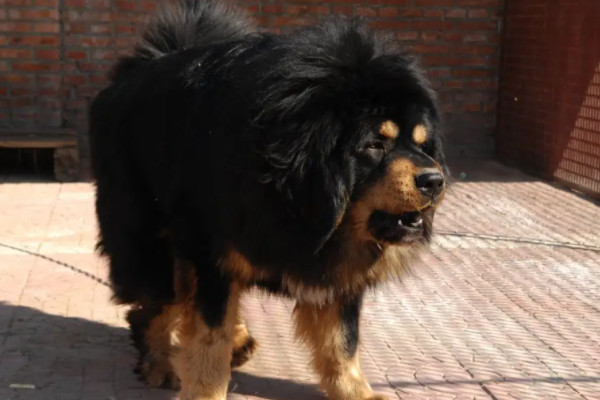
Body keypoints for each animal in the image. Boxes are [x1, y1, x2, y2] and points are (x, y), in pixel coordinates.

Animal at [89, 1, 447, 399]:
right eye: (374, 144)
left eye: (422, 145)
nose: (434, 180)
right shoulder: (212, 254)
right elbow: (210, 334)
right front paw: (206, 389)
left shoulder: (338, 269)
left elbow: (343, 340)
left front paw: (356, 391)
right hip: (151, 240)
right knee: (157, 304)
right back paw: (158, 364)